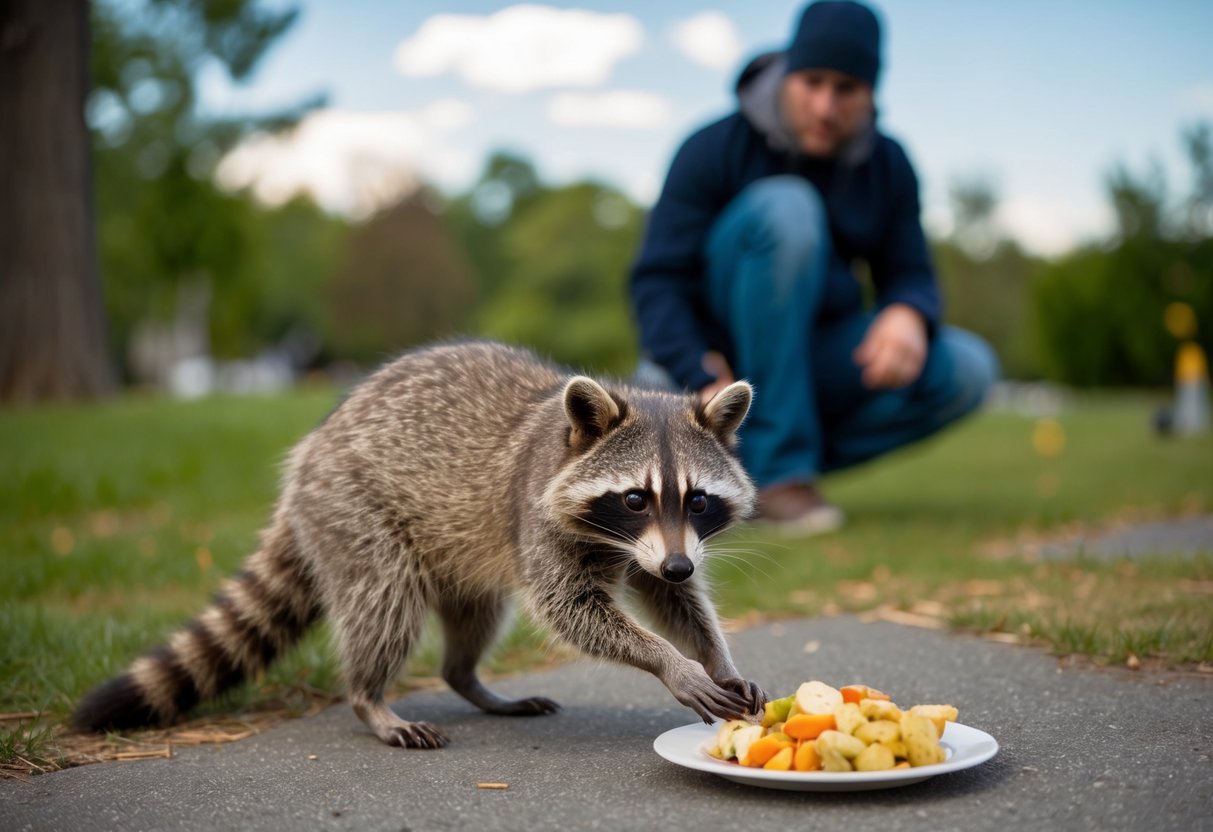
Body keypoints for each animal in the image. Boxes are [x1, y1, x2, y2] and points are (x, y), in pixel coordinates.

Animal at [73, 341, 764, 748]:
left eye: (698, 501)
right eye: (635, 499)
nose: (678, 564)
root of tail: (309, 454)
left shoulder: (657, 550)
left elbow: (670, 599)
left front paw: (714, 655)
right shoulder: (539, 517)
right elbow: (569, 609)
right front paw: (669, 662)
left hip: (458, 551)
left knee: (475, 617)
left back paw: (469, 679)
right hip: (353, 510)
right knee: (385, 606)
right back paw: (369, 698)